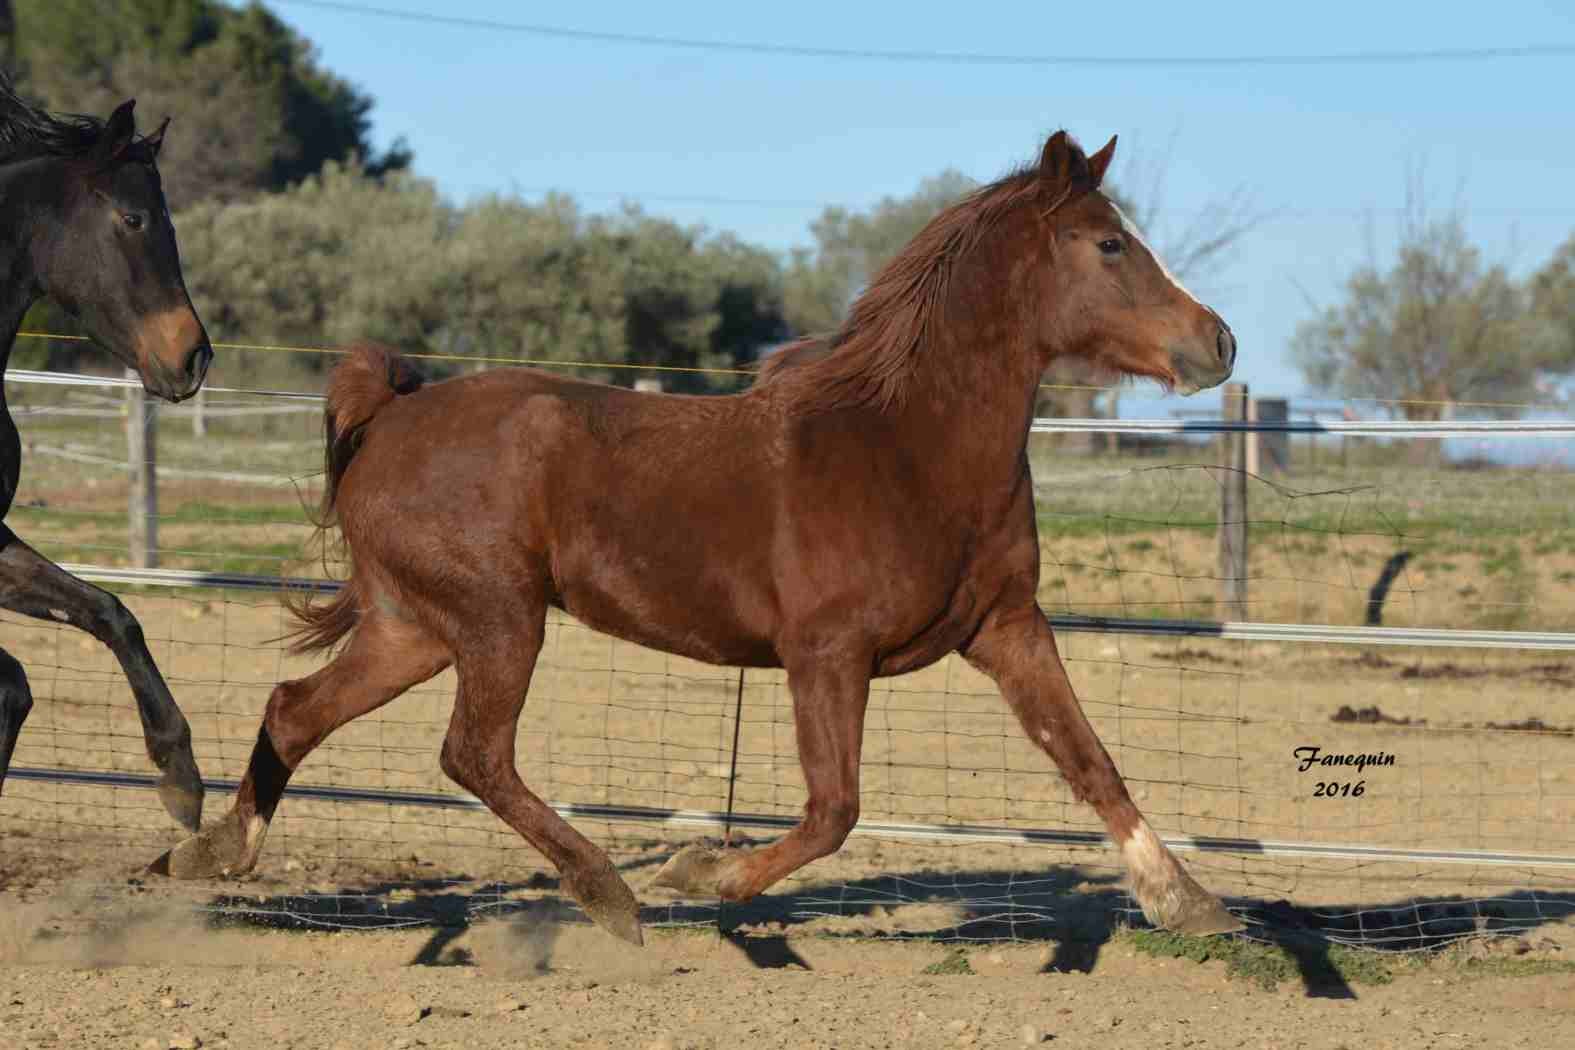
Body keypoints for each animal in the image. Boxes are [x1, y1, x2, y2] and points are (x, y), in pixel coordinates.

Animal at [156, 129, 1241, 944]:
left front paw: (1187, 903)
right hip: (498, 621)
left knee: (298, 710)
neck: (907, 444)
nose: (1219, 343)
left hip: (413, 628)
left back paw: (214, 850)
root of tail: (389, 413)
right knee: (473, 755)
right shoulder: (826, 653)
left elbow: (1091, 762)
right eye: (1109, 245)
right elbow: (834, 810)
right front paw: (700, 869)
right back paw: (612, 894)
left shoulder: (1008, 628)